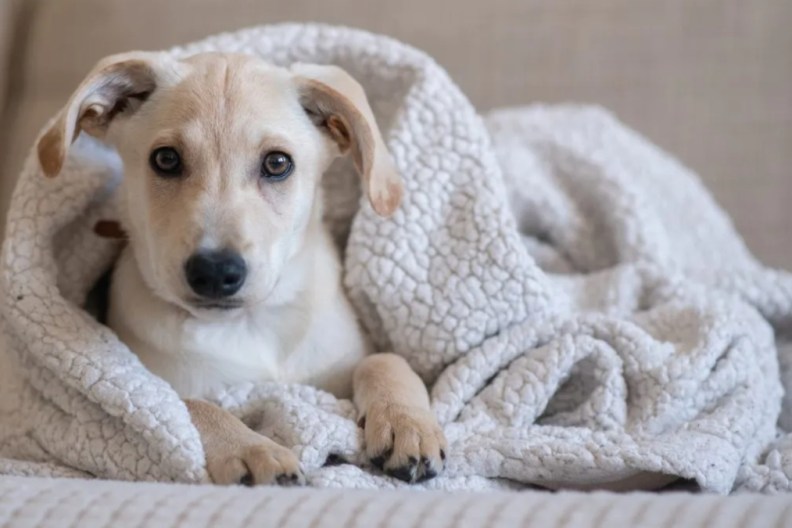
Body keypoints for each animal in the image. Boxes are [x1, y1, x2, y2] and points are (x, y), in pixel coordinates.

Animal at [37, 50, 446, 486]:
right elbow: (191, 405)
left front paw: (407, 424)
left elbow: (385, 360)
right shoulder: (151, 385)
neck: (250, 326)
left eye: (278, 163)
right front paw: (252, 450)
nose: (215, 272)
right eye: (165, 159)